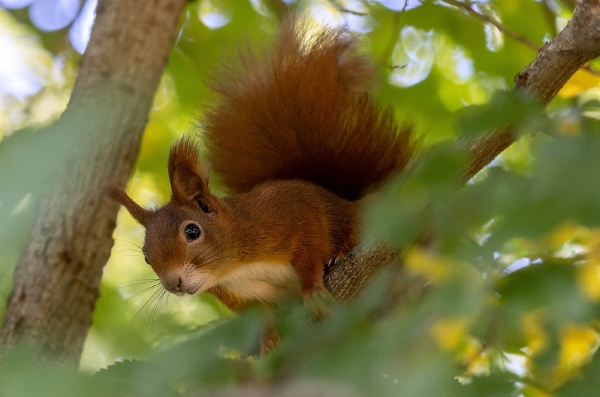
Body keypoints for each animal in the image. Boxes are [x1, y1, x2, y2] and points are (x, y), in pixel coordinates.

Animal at [108, 18, 414, 318]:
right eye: (146, 257)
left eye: (192, 232)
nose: (174, 284)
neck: (238, 267)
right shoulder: (240, 297)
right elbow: (259, 318)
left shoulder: (288, 211)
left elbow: (311, 247)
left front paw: (313, 289)